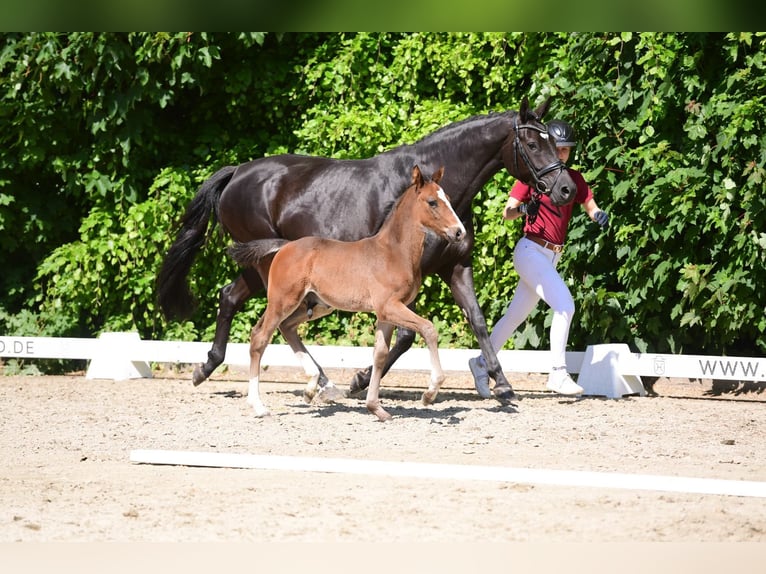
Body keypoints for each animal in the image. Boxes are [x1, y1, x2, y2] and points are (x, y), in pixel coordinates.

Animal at [231, 166, 464, 424]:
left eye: (448, 199)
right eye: (432, 202)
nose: (459, 232)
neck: (394, 252)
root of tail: (285, 246)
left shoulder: (386, 313)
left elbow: (380, 354)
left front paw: (376, 408)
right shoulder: (389, 306)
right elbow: (428, 329)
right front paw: (429, 394)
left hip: (314, 306)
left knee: (286, 328)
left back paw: (310, 388)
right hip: (283, 301)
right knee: (260, 338)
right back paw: (259, 406)